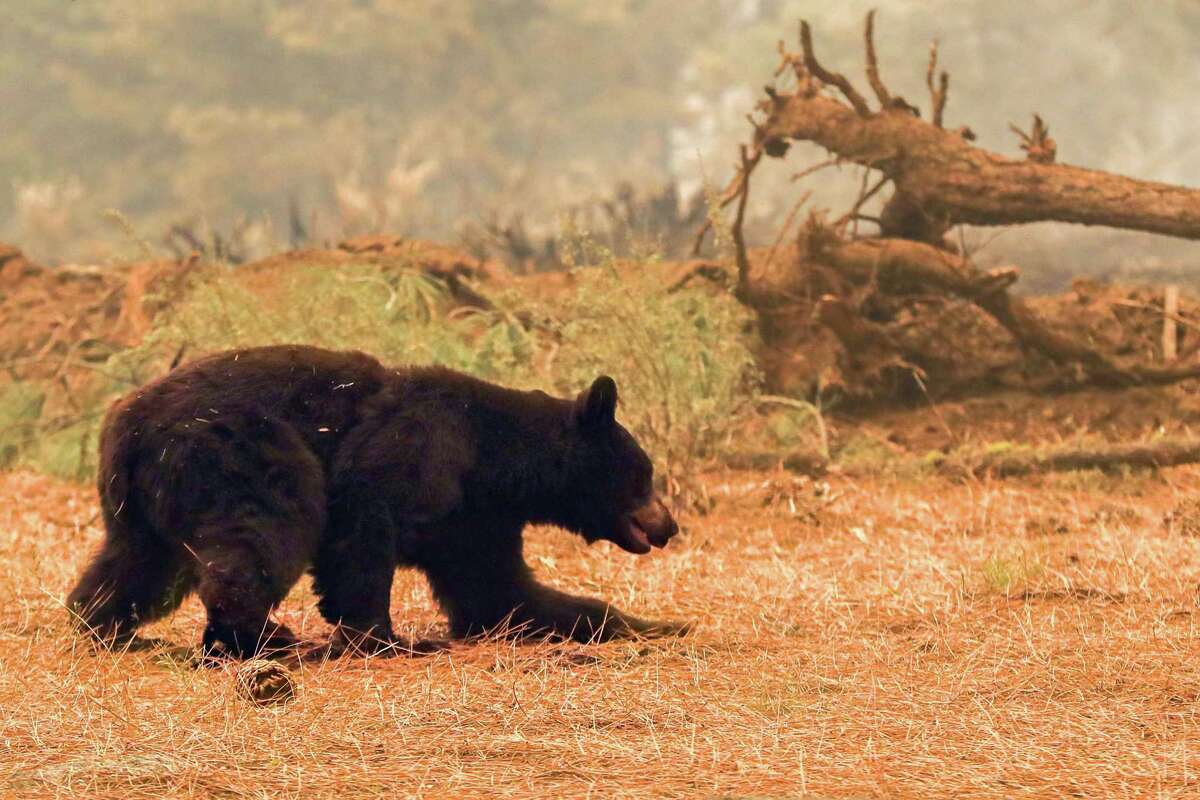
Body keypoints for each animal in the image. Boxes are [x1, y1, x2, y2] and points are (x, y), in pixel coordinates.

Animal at [65, 345, 686, 657]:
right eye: (645, 474)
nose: (668, 526)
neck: (492, 457)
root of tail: (126, 423)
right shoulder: (422, 446)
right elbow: (364, 523)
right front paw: (381, 636)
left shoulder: (476, 517)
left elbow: (498, 592)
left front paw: (659, 624)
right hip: (237, 449)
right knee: (272, 528)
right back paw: (264, 637)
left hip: (144, 501)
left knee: (136, 563)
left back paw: (106, 625)